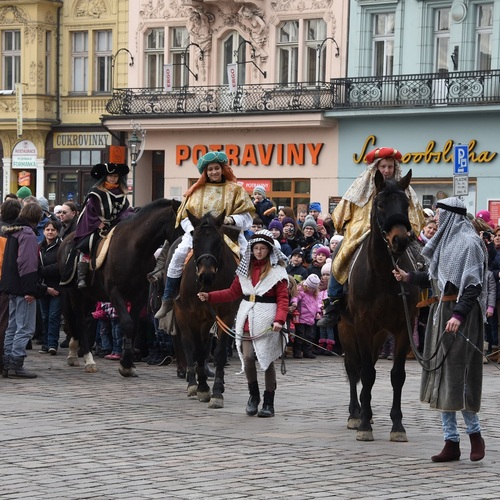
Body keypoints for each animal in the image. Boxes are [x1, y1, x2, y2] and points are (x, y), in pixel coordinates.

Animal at [59, 197, 182, 376]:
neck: (135, 249)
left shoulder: (139, 296)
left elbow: (134, 325)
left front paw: (128, 363)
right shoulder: (115, 293)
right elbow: (127, 324)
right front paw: (126, 364)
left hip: (89, 295)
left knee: (85, 320)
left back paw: (76, 353)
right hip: (74, 293)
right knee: (80, 320)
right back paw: (87, 359)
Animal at [174, 209, 240, 408]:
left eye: (218, 242)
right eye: (195, 241)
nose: (206, 275)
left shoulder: (226, 315)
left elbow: (218, 352)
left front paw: (217, 391)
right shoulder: (192, 314)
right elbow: (197, 350)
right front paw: (203, 388)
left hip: (208, 319)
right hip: (181, 313)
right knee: (188, 344)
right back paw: (192, 383)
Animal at [338, 171, 420, 442]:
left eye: (406, 204)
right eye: (381, 204)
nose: (400, 240)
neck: (383, 276)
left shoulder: (403, 328)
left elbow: (397, 375)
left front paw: (398, 426)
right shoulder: (362, 326)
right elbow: (365, 373)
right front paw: (363, 424)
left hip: (380, 334)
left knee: (369, 365)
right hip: (346, 328)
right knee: (355, 368)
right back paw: (356, 413)